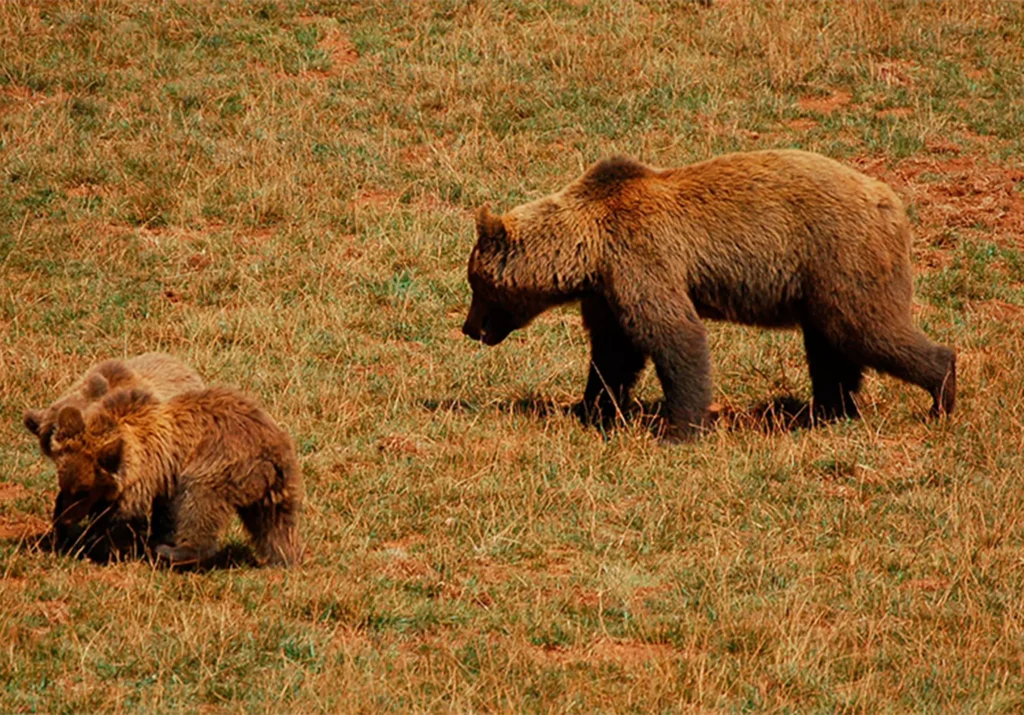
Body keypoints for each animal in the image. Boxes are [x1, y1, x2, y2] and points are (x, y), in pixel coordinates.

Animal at [48, 385, 303, 567]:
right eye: (66, 486)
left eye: (83, 491)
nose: (65, 520)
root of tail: (270, 452)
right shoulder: (163, 479)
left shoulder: (151, 472)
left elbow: (124, 517)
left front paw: (96, 544)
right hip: (277, 482)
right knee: (274, 522)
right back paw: (282, 559)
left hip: (223, 461)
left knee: (200, 498)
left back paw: (176, 552)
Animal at [461, 150, 956, 441]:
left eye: (476, 284)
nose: (468, 328)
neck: (589, 249)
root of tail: (890, 200)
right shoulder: (607, 290)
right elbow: (613, 353)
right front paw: (590, 408)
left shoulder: (642, 258)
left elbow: (674, 335)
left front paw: (678, 427)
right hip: (820, 282)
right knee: (831, 347)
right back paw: (827, 412)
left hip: (839, 256)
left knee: (865, 328)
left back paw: (941, 393)